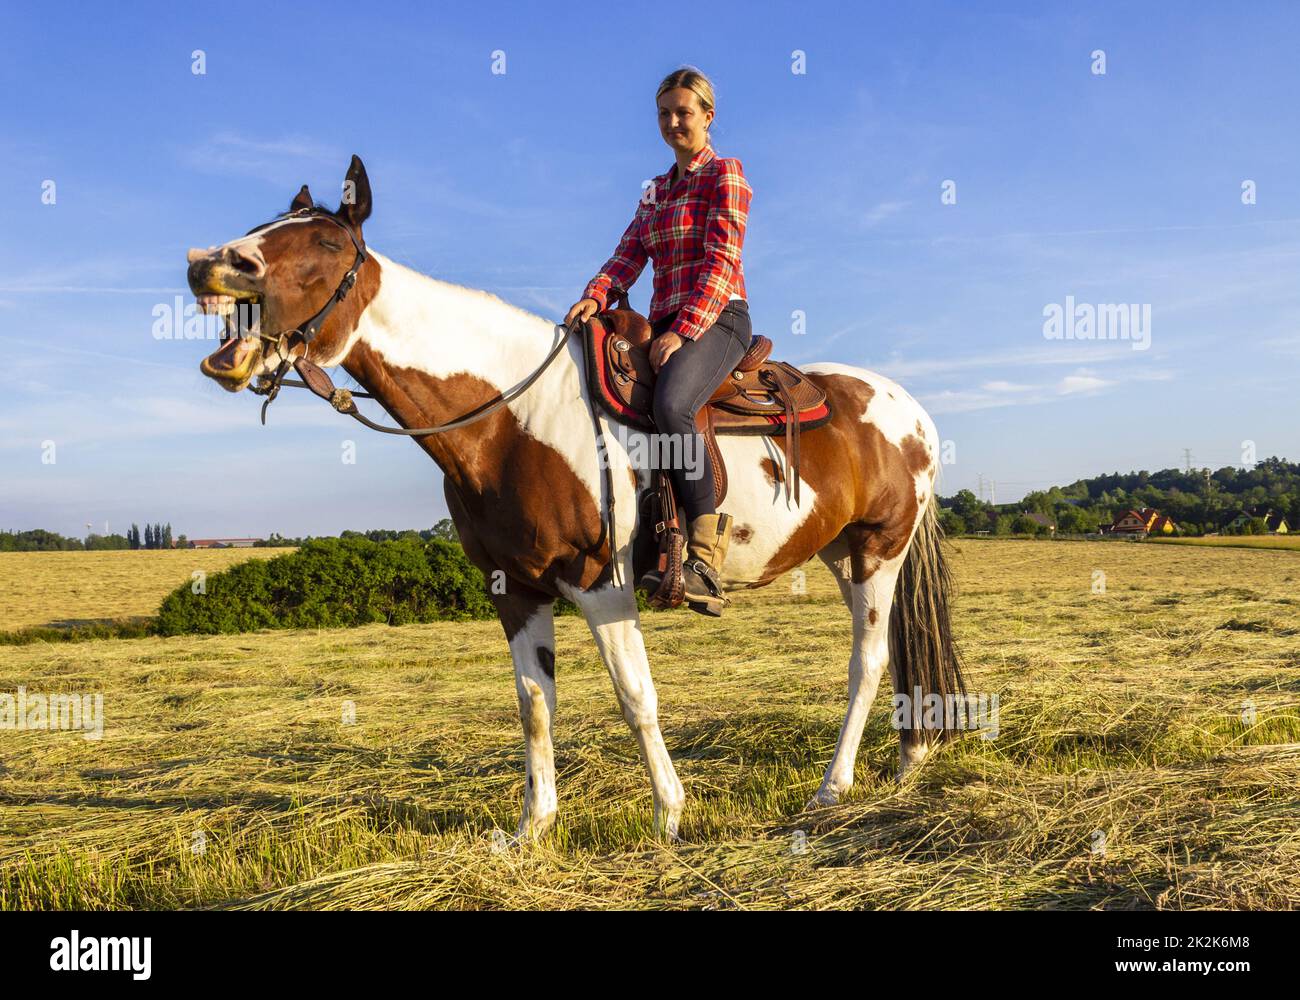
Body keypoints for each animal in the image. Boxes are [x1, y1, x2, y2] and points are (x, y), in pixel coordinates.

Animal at [185, 154, 967, 842]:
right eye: (265, 224)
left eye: (323, 241)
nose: (208, 263)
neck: (513, 416)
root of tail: (912, 411)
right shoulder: (516, 590)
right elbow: (535, 705)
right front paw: (533, 829)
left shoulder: (602, 586)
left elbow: (635, 695)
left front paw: (669, 818)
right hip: (841, 554)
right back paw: (907, 760)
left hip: (879, 553)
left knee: (867, 663)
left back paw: (833, 788)